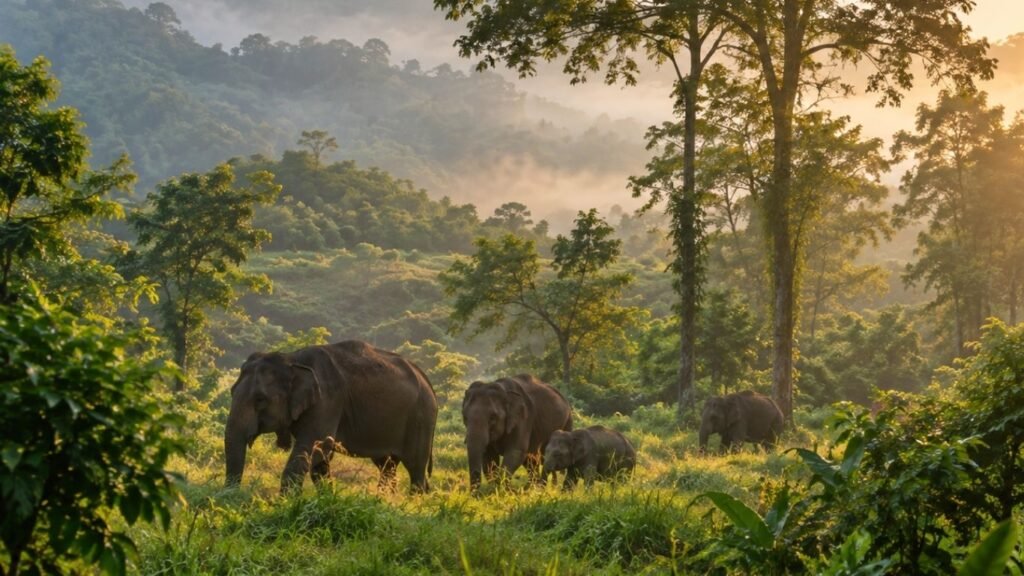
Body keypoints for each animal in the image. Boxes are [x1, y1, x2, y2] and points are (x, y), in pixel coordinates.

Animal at [224, 340, 438, 492]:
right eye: (232, 391)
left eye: (260, 399)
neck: (293, 358)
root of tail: (426, 380)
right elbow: (319, 461)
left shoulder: (328, 401)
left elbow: (309, 447)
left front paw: (284, 506)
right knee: (387, 466)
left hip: (421, 418)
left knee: (415, 468)